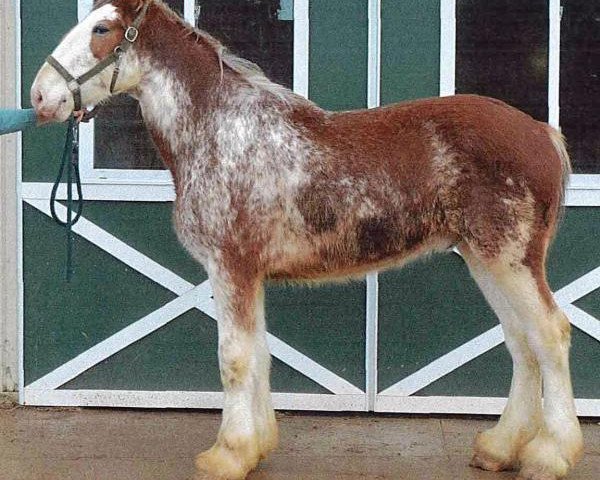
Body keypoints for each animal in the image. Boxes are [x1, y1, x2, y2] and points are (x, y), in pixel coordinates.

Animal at [30, 0, 584, 480]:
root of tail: (542, 133)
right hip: (485, 260)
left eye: (102, 29)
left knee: (550, 334)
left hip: (508, 260)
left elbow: (234, 357)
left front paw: (226, 455)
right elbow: (257, 353)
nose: (38, 97)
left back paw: (551, 455)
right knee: (521, 343)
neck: (219, 130)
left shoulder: (231, 267)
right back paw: (499, 448)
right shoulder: (247, 275)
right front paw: (254, 448)